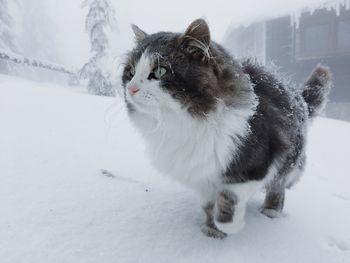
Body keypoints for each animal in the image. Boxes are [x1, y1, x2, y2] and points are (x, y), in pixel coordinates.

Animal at [121, 18, 332, 239]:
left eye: (160, 71)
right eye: (131, 72)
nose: (131, 88)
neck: (182, 124)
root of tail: (298, 96)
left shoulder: (253, 166)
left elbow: (229, 198)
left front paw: (228, 226)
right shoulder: (200, 176)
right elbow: (209, 205)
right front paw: (211, 229)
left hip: (287, 159)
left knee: (278, 186)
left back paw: (271, 210)